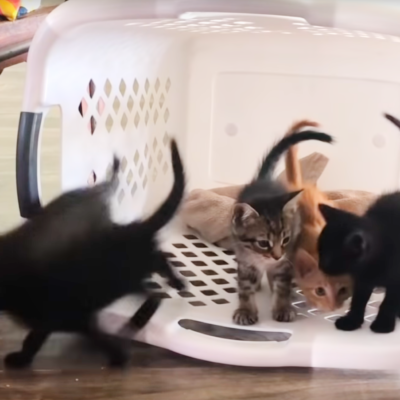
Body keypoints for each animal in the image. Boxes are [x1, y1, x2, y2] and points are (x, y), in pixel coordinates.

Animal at [0, 140, 184, 368]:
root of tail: (135, 227)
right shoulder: (54, 320)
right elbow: (33, 339)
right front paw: (21, 358)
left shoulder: (72, 318)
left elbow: (92, 338)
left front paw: (118, 358)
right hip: (133, 275)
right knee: (158, 270)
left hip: (135, 270)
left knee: (157, 283)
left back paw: (155, 304)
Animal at [230, 126, 332, 326]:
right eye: (263, 243)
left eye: (286, 239)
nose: (277, 256)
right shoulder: (245, 261)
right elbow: (245, 288)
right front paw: (246, 310)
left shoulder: (286, 261)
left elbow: (282, 286)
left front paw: (282, 308)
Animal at [318, 113, 400, 334]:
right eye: (319, 250)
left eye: (330, 257)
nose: (321, 266)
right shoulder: (362, 279)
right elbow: (359, 299)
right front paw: (351, 320)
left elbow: (389, 301)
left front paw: (384, 323)